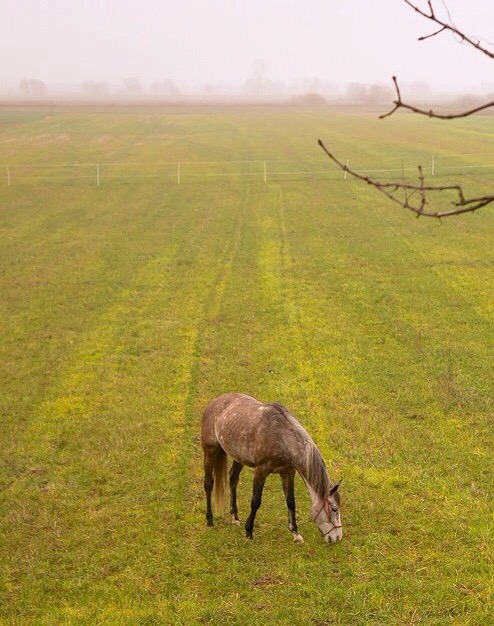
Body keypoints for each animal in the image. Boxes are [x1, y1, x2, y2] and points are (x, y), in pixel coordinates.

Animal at [199, 392, 342, 544]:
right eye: (334, 509)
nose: (337, 537)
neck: (280, 437)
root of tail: (214, 402)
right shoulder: (261, 471)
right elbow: (255, 501)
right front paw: (249, 531)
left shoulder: (288, 472)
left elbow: (291, 501)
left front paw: (295, 534)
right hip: (210, 452)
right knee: (208, 484)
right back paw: (210, 520)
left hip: (238, 457)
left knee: (233, 480)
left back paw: (235, 518)